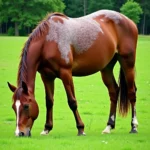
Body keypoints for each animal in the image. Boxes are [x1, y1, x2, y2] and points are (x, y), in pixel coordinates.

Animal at [7, 9, 138, 136]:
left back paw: (134, 126)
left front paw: (81, 128)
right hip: (106, 68)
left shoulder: (66, 74)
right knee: (114, 91)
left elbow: (72, 101)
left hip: (128, 63)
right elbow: (49, 101)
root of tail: (129, 21)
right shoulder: (47, 76)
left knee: (132, 92)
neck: (48, 42)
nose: (19, 133)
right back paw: (109, 127)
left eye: (26, 106)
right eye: (13, 107)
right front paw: (47, 128)